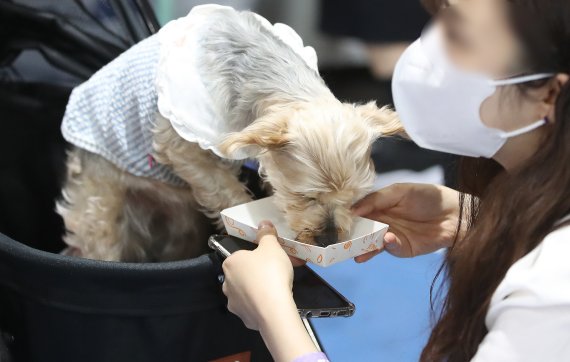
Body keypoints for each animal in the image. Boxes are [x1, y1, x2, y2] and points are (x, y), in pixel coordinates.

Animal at [55, 4, 402, 262]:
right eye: (304, 196)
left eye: (355, 198)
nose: (328, 238)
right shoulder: (177, 143)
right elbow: (225, 191)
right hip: (101, 203)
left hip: (180, 223)